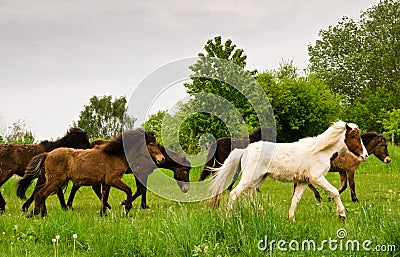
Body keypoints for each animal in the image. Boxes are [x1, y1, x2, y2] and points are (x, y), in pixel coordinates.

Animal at [18, 128, 165, 216]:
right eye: (151, 144)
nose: (161, 159)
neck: (115, 154)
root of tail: (48, 154)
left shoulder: (106, 182)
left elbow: (104, 196)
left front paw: (103, 213)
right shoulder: (113, 179)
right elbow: (128, 190)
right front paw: (126, 208)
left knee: (40, 193)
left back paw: (40, 213)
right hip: (55, 180)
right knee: (41, 193)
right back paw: (40, 214)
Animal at [209, 121, 368, 219]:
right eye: (356, 137)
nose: (365, 155)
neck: (321, 151)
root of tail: (245, 150)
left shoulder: (304, 181)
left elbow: (295, 199)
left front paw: (291, 218)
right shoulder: (317, 178)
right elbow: (335, 191)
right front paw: (342, 215)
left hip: (259, 179)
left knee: (250, 194)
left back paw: (262, 212)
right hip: (250, 178)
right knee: (234, 194)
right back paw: (229, 217)